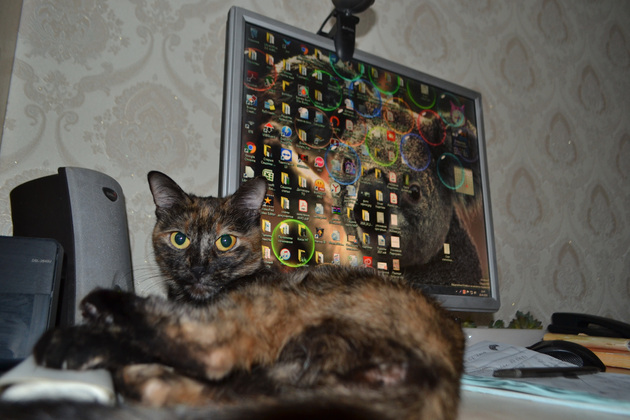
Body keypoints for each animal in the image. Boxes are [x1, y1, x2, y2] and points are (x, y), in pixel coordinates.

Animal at [27, 171, 464, 420]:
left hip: (281, 302)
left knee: (213, 352)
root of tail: (446, 374)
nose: (198, 267)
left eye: (225, 242)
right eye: (180, 239)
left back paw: (84, 326)